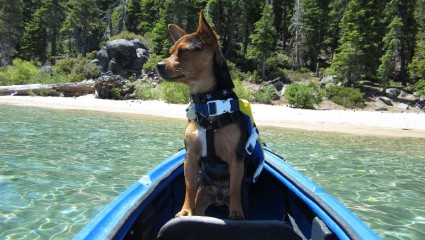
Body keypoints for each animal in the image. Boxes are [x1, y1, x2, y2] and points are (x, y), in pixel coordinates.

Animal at [157, 10, 247, 219]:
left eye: (183, 51)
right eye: (171, 51)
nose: (158, 65)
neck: (208, 102)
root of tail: (218, 197)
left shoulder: (236, 159)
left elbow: (235, 188)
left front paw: (236, 213)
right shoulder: (191, 156)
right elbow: (189, 186)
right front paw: (185, 210)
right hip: (204, 196)